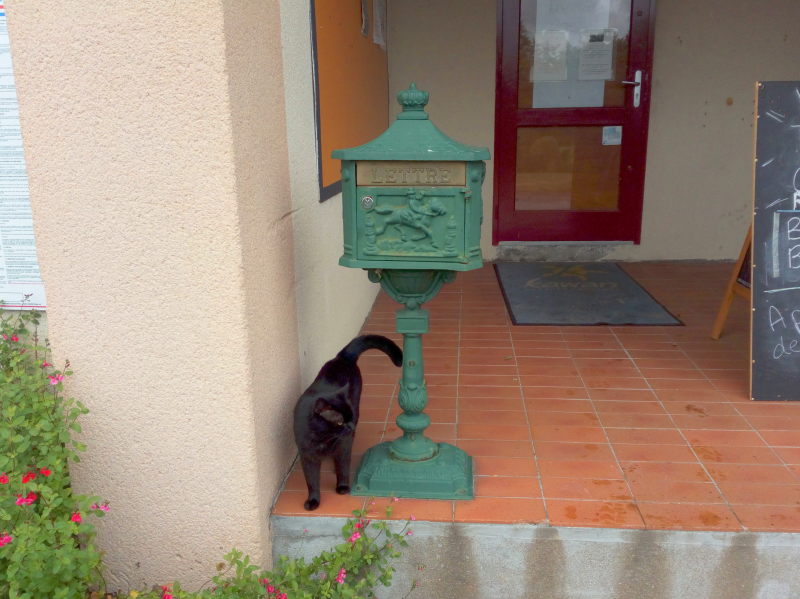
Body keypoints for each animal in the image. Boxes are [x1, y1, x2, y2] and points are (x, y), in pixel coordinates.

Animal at [292, 332, 404, 510]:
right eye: (340, 422)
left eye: (350, 418)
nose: (351, 427)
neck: (323, 438)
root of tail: (342, 357)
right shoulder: (307, 455)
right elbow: (312, 481)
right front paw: (313, 501)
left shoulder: (343, 445)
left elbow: (343, 466)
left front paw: (343, 487)